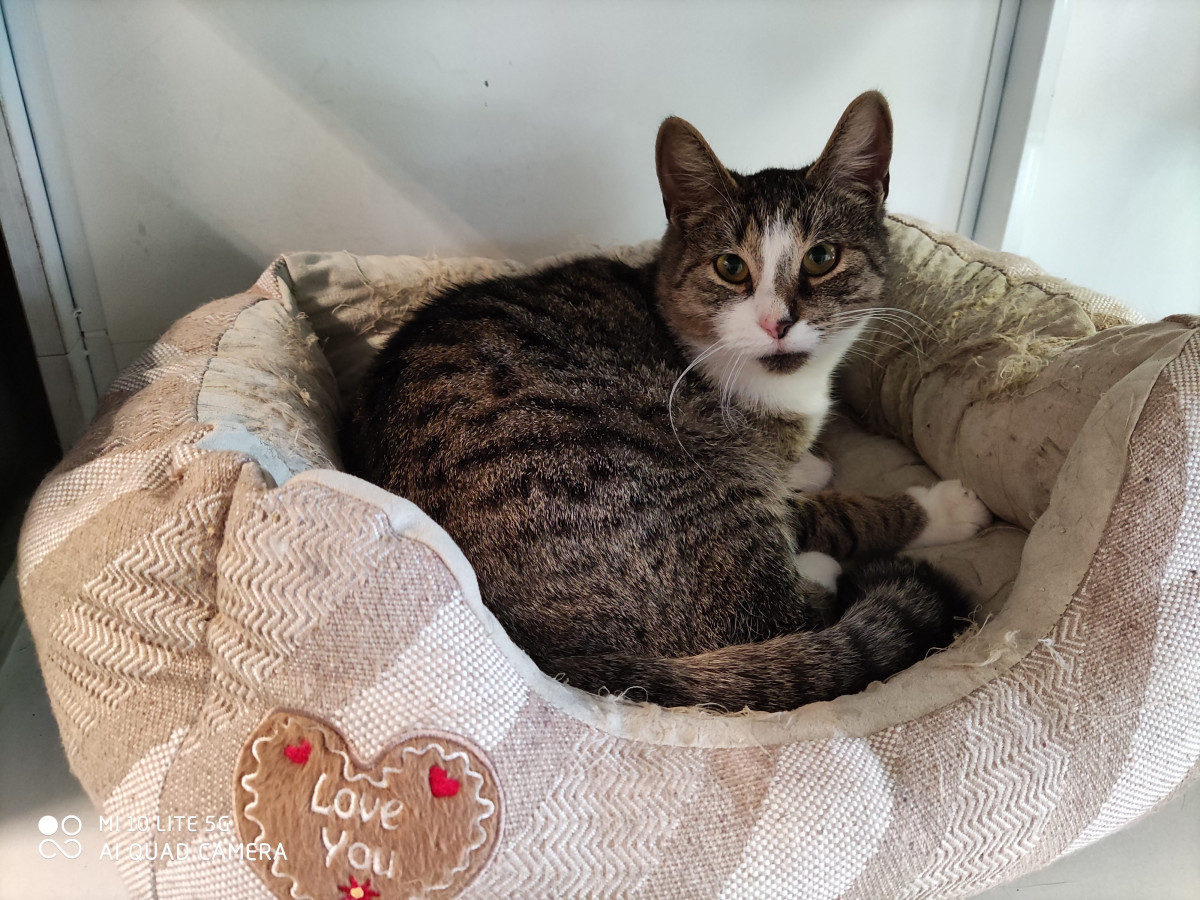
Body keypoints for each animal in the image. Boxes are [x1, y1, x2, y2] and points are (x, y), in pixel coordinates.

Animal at [346, 91, 991, 713]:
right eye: (731, 266)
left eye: (821, 257)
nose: (777, 322)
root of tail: (536, 654)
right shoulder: (734, 460)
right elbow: (834, 513)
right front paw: (937, 508)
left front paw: (807, 463)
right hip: (672, 482)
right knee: (775, 617)